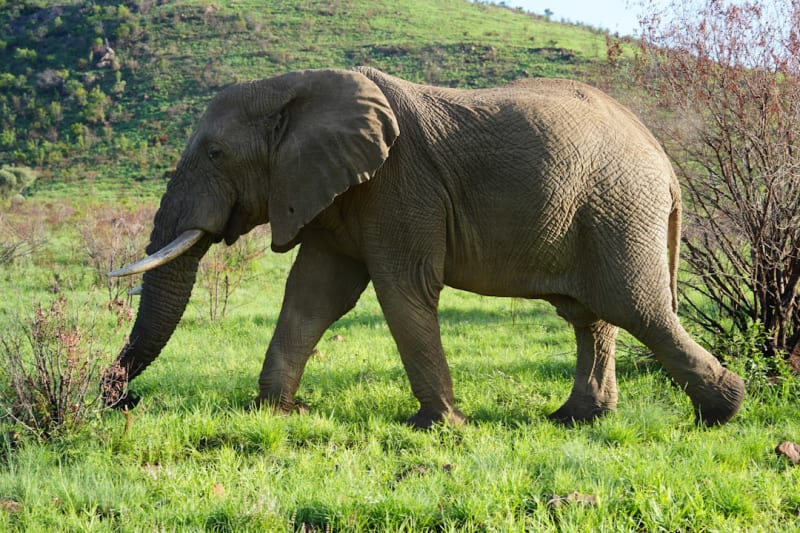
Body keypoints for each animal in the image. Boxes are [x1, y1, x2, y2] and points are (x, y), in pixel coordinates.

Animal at [104, 66, 745, 428]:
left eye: (215, 154)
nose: (122, 401)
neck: (295, 88)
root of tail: (664, 159)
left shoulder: (398, 184)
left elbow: (401, 289)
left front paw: (440, 426)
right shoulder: (339, 192)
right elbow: (314, 295)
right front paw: (278, 414)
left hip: (618, 208)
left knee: (638, 309)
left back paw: (723, 411)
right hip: (599, 212)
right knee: (592, 315)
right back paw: (577, 420)